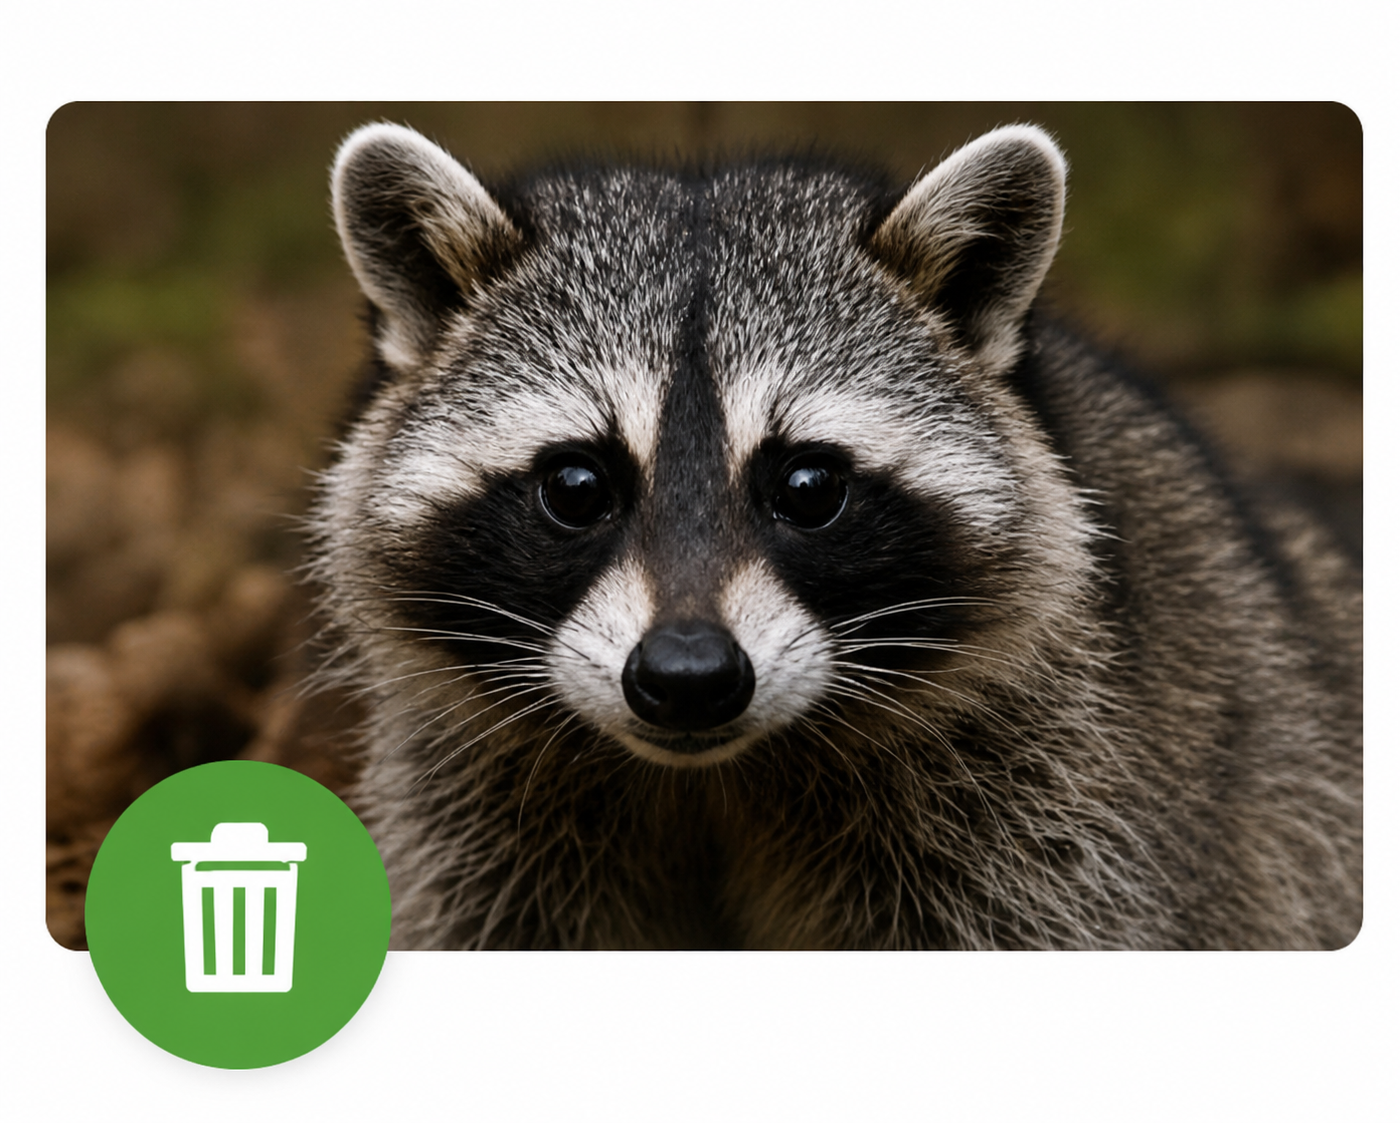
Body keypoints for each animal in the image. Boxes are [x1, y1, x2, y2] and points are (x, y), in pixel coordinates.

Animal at [309, 121, 1361, 950]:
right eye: (576, 487)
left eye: (809, 488)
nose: (688, 677)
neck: (710, 778)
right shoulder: (481, 820)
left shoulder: (1063, 802)